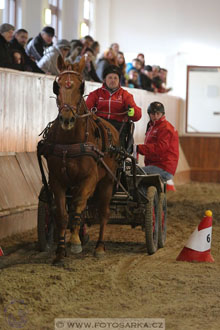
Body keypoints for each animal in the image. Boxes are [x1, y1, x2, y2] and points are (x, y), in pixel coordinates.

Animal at [41, 55, 120, 264]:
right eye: (57, 86)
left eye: (81, 87)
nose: (66, 119)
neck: (70, 141)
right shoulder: (57, 180)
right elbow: (62, 214)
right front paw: (60, 251)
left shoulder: (89, 179)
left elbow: (77, 206)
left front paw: (75, 242)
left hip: (107, 182)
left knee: (103, 213)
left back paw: (99, 247)